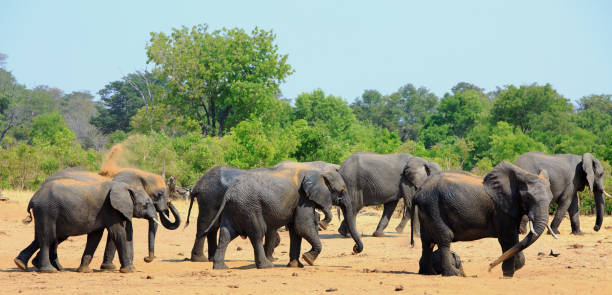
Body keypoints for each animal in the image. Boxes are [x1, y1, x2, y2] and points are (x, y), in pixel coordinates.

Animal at [201, 165, 364, 270]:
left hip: (235, 208)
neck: (319, 171)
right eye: (342, 191)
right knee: (257, 233)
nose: (355, 249)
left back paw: (220, 267)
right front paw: (308, 260)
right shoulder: (303, 198)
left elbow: (296, 230)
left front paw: (296, 265)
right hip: (250, 207)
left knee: (226, 234)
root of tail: (229, 194)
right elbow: (302, 227)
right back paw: (267, 266)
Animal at [414, 164, 556, 278]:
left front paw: (513, 268)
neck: (521, 175)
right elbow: (508, 239)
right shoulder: (501, 209)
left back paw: (428, 273)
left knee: (427, 241)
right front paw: (507, 274)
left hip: (427, 210)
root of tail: (419, 190)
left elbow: (515, 241)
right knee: (444, 237)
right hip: (433, 205)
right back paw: (453, 274)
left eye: (551, 199)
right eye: (528, 197)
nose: (489, 267)